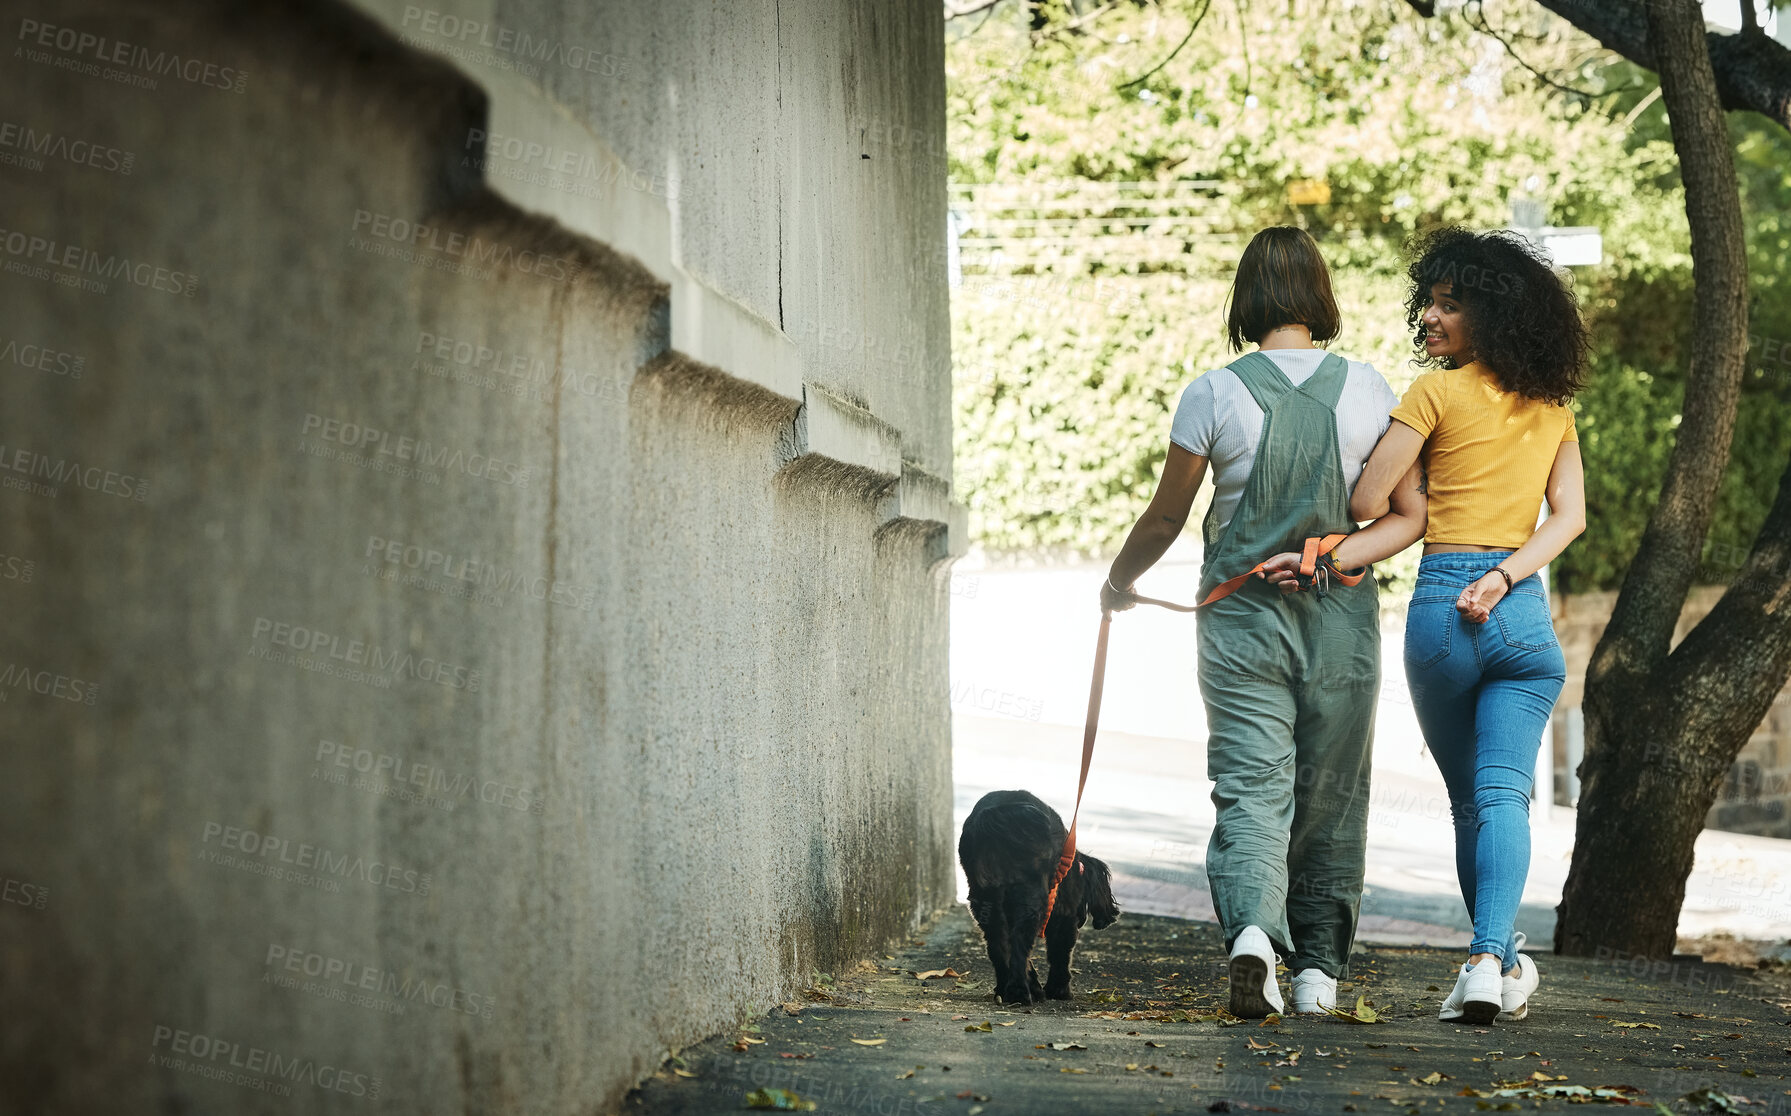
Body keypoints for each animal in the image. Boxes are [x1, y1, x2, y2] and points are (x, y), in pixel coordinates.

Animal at [959, 791, 1110, 1010]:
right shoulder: (1065, 916)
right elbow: (1060, 952)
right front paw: (1058, 989)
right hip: (1029, 899)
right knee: (1019, 943)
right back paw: (1020, 993)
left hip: (984, 899)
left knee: (999, 944)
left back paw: (1005, 988)